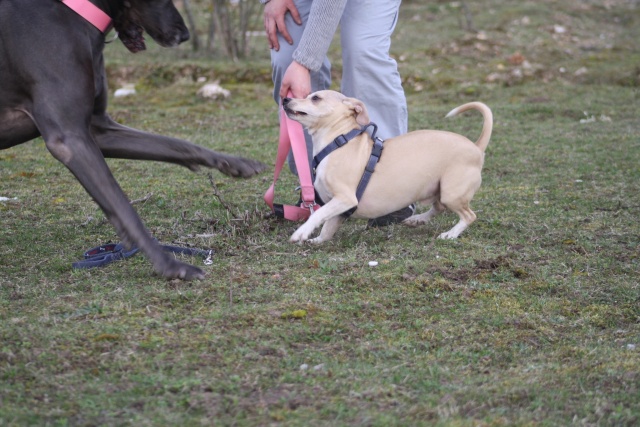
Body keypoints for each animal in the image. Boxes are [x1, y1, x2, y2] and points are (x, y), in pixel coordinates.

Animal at [282, 90, 492, 244]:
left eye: (316, 98)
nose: (285, 98)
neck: (338, 142)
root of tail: (476, 147)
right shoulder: (339, 207)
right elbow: (327, 228)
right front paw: (316, 240)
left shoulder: (345, 198)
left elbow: (318, 214)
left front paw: (302, 232)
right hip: (439, 190)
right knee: (439, 208)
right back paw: (418, 219)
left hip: (452, 193)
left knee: (469, 216)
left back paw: (450, 234)